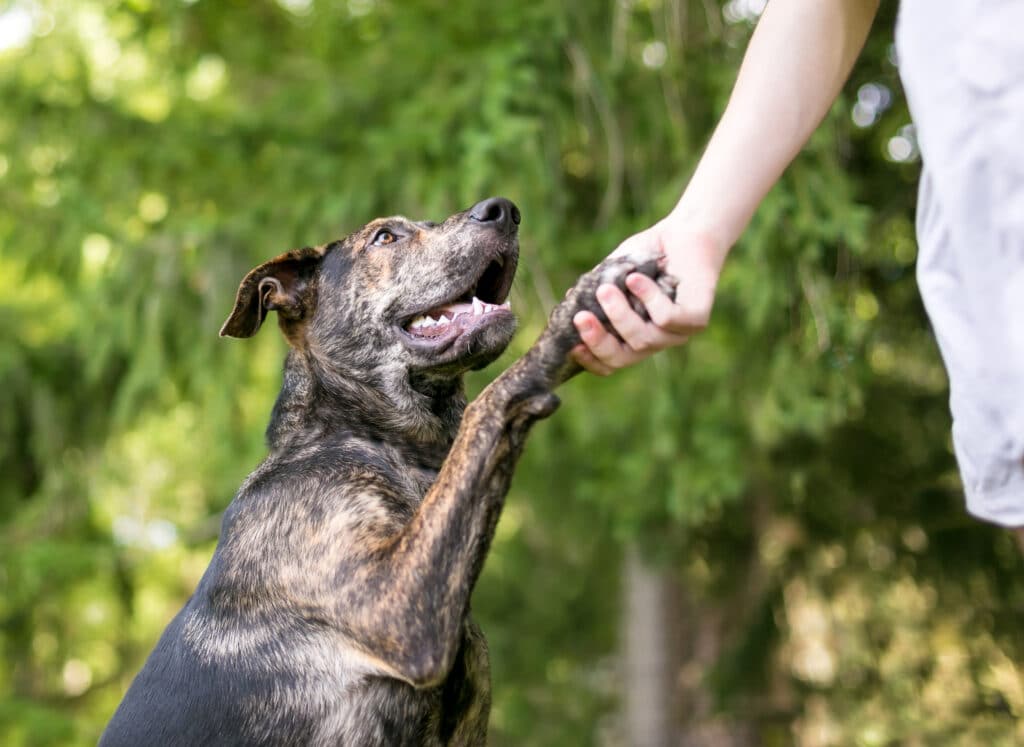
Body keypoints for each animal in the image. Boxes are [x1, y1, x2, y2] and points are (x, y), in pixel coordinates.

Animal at [101, 195, 679, 741]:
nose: (504, 210)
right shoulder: (396, 604)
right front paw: (577, 309)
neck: (372, 440)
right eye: (385, 237)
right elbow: (490, 401)